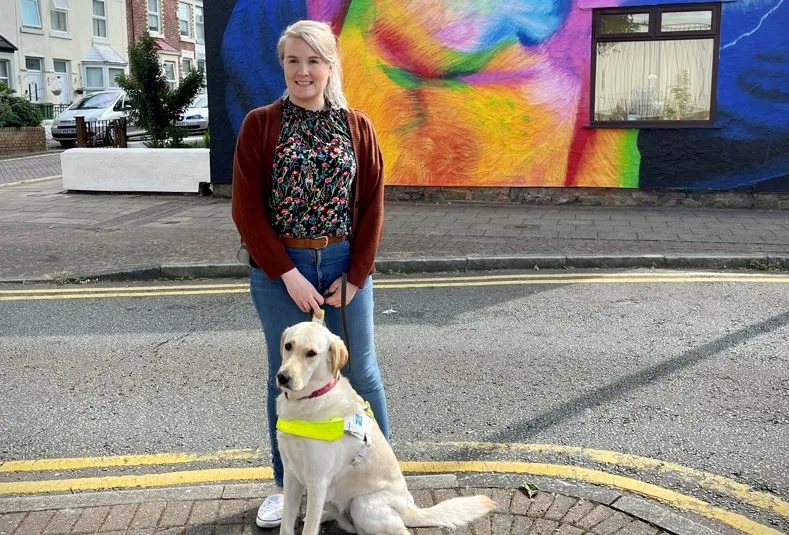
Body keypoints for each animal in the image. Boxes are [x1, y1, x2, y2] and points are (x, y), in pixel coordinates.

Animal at [276, 320, 492, 532]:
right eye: (288, 346)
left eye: (311, 353)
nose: (282, 377)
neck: (309, 399)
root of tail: (408, 510)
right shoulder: (291, 473)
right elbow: (286, 524)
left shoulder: (317, 482)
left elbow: (309, 529)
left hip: (362, 504)